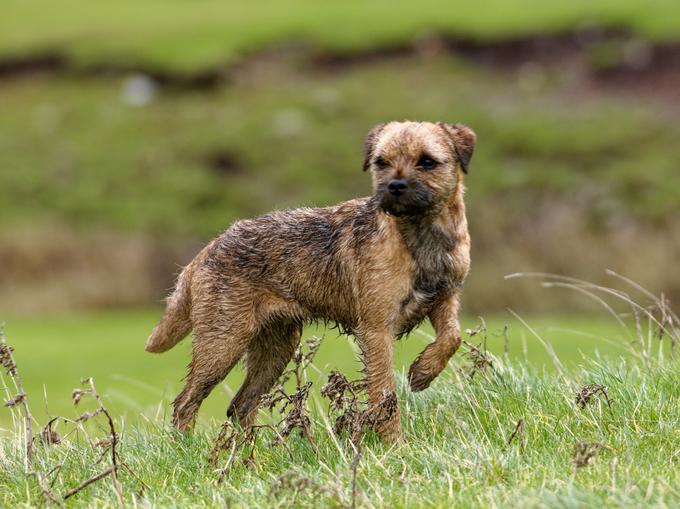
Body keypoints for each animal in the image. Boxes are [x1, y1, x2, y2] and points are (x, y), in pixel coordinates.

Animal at [145, 120, 472, 440]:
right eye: (382, 162)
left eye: (427, 161)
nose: (395, 186)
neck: (419, 236)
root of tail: (210, 247)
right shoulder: (376, 330)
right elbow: (384, 393)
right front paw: (394, 444)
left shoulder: (446, 298)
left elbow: (452, 336)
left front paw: (424, 371)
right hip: (222, 342)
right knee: (186, 402)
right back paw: (188, 447)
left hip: (276, 347)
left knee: (241, 404)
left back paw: (252, 452)